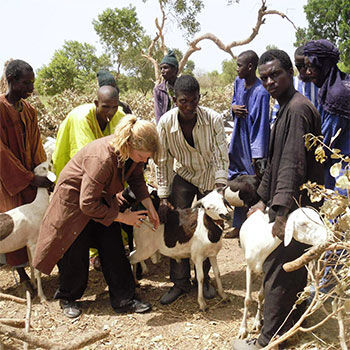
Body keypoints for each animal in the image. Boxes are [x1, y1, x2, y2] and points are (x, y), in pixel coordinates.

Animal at [0, 161, 55, 300]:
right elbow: (37, 269)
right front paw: (42, 297)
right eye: (46, 167)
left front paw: (34, 285)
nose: (51, 161)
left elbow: (30, 264)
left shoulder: (28, 243)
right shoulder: (35, 242)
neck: (37, 205)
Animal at [238, 206, 328, 338]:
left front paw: (257, 322)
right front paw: (243, 329)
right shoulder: (249, 266)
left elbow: (260, 296)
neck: (263, 244)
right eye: (303, 224)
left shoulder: (265, 271)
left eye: (319, 218)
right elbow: (247, 300)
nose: (328, 236)